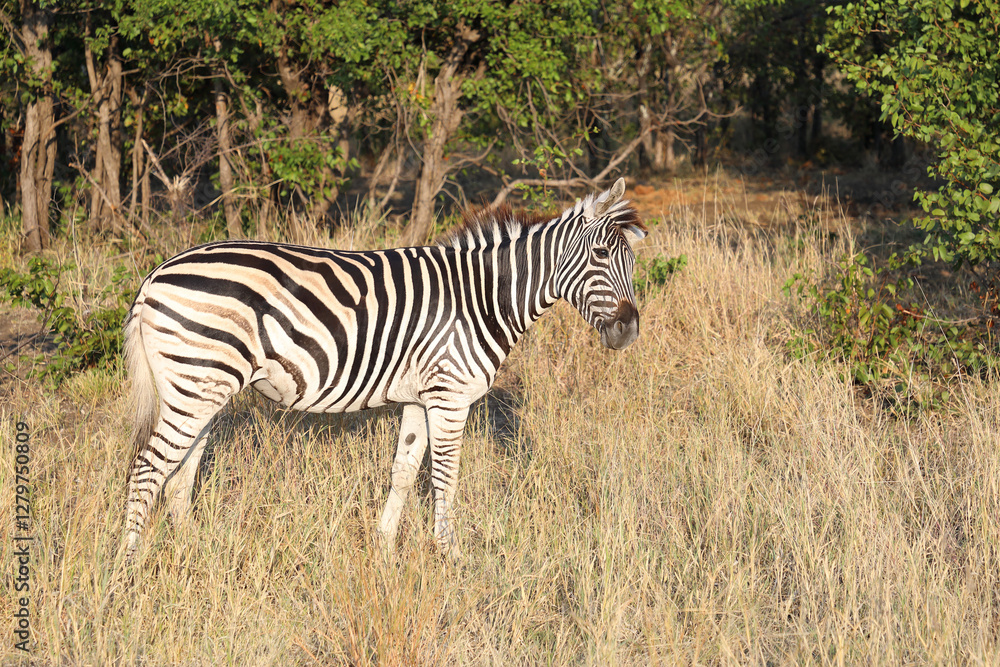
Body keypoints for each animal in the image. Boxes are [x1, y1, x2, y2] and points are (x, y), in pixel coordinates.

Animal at [122, 178, 645, 560]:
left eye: (633, 262)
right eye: (600, 255)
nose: (628, 331)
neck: (481, 297)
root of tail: (153, 276)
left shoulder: (420, 396)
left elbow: (404, 472)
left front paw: (384, 549)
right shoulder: (449, 394)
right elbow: (445, 475)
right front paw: (450, 557)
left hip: (203, 387)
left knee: (179, 474)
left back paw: (192, 551)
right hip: (197, 382)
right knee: (149, 468)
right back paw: (129, 568)